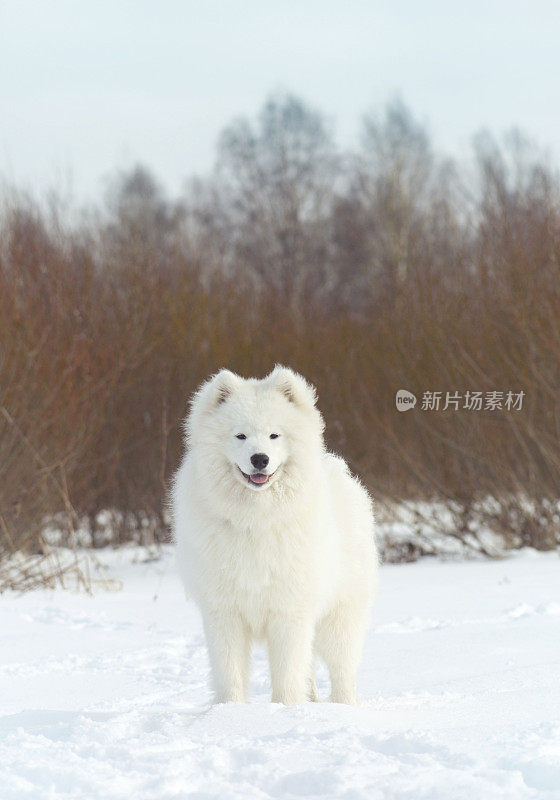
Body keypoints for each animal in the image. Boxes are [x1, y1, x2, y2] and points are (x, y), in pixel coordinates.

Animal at [173, 366, 378, 704]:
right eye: (240, 435)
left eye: (274, 435)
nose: (260, 458)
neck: (255, 519)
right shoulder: (224, 612)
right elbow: (230, 672)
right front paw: (229, 710)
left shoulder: (289, 610)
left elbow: (287, 673)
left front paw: (284, 709)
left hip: (338, 617)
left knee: (342, 670)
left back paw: (344, 706)